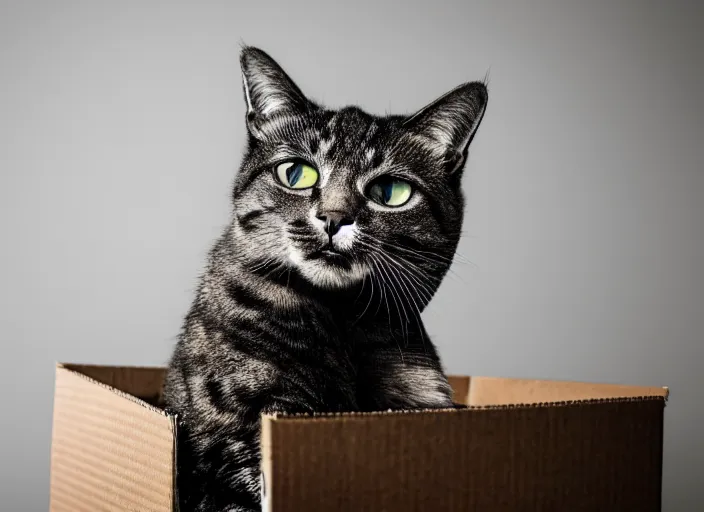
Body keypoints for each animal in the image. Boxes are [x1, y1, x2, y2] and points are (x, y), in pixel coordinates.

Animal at [162, 46, 486, 510]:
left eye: (391, 192)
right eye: (297, 174)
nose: (334, 218)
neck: (339, 321)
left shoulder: (423, 400)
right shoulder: (239, 443)